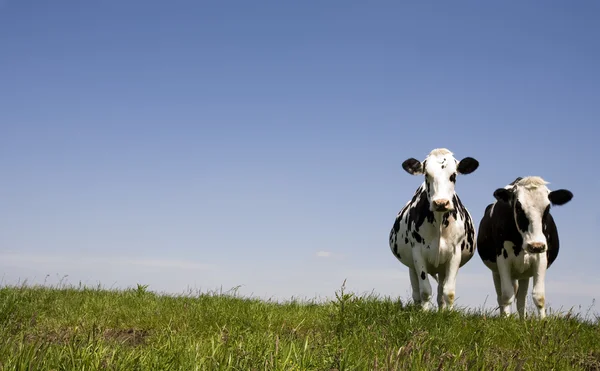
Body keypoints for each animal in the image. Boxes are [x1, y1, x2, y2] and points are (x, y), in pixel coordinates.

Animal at [390, 148, 478, 310]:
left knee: (440, 291)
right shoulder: (417, 253)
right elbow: (425, 290)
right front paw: (424, 312)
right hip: (411, 266)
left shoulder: (455, 253)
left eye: (453, 175)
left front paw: (448, 313)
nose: (441, 203)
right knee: (416, 292)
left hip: (442, 267)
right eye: (426, 174)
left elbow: (448, 292)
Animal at [476, 177, 576, 320]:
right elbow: (506, 295)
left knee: (521, 298)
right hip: (496, 271)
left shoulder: (541, 257)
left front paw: (542, 322)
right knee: (501, 296)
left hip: (524, 273)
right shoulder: (502, 259)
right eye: (518, 207)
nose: (535, 245)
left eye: (547, 208)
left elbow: (539, 296)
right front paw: (505, 321)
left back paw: (522, 320)